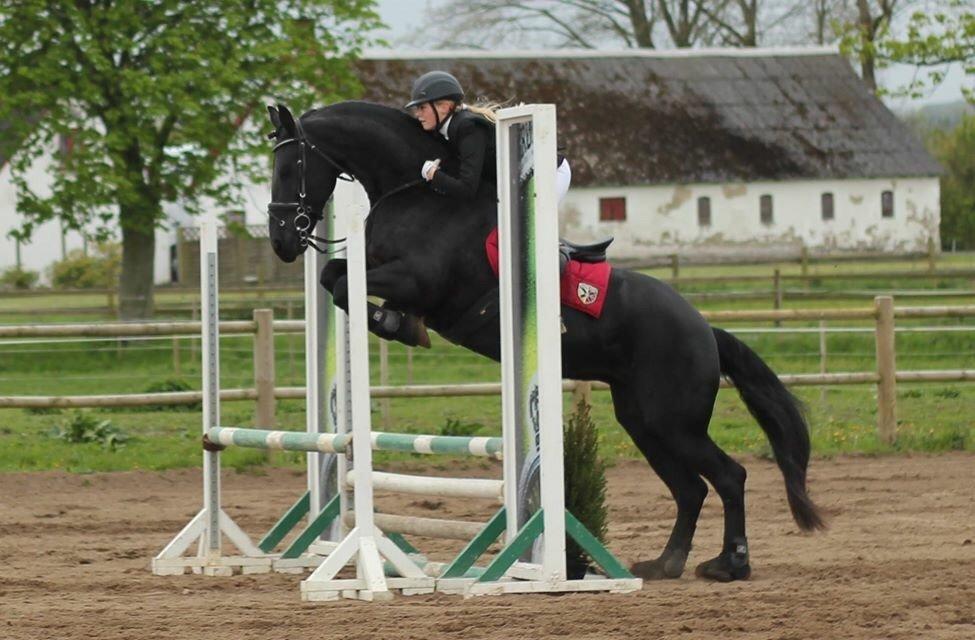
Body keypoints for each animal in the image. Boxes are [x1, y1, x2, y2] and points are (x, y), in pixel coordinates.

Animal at [266, 99, 824, 580]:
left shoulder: (417, 281)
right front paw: (396, 323)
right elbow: (333, 276)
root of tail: (705, 328)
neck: (416, 195)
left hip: (674, 420)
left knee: (729, 477)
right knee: (689, 489)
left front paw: (392, 323)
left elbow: (346, 283)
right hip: (644, 420)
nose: (282, 242)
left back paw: (730, 565)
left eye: (291, 167)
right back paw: (666, 564)